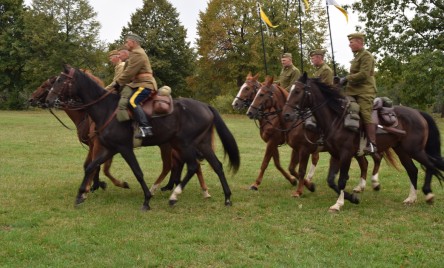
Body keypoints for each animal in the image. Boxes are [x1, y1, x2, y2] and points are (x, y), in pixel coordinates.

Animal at [46, 64, 239, 209]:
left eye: (60, 80)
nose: (48, 100)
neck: (106, 109)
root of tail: (206, 106)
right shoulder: (109, 149)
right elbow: (91, 167)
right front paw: (81, 195)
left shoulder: (124, 148)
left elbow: (137, 172)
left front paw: (146, 199)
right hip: (200, 144)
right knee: (216, 165)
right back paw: (227, 198)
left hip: (184, 144)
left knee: (192, 166)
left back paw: (174, 195)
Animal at [284, 73, 444, 211]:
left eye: (297, 91)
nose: (286, 114)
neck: (336, 119)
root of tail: (418, 113)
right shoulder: (335, 154)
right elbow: (331, 181)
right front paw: (352, 198)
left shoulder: (345, 154)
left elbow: (341, 180)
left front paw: (339, 204)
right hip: (402, 150)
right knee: (413, 170)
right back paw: (411, 198)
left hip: (415, 150)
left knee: (430, 165)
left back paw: (428, 194)